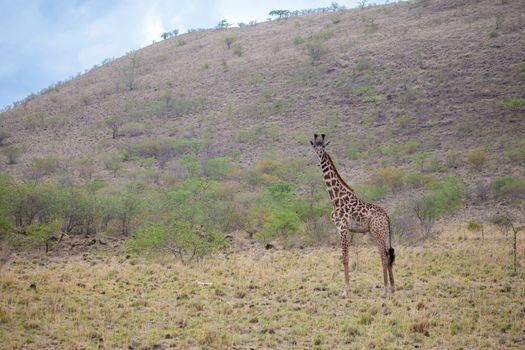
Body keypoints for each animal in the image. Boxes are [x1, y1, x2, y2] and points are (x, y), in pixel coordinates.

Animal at [310, 134, 396, 298]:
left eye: (323, 147)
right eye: (314, 148)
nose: (319, 157)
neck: (335, 198)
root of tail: (387, 217)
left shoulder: (342, 228)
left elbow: (345, 258)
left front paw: (345, 290)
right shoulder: (349, 231)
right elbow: (345, 257)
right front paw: (346, 288)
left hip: (377, 232)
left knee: (384, 256)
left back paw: (384, 291)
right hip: (383, 234)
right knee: (388, 255)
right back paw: (393, 288)